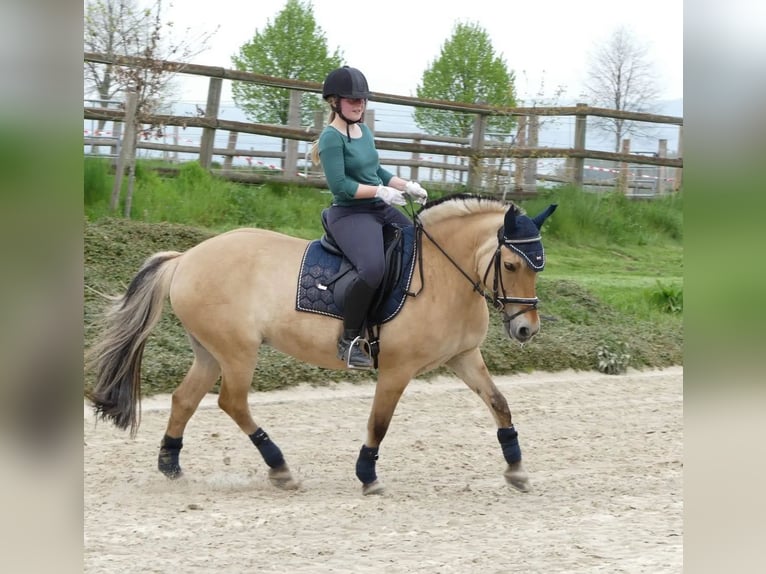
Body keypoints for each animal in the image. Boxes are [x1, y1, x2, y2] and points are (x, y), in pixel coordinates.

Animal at [87, 194, 560, 496]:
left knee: (185, 399)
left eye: (539, 266)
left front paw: (516, 469)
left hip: (210, 351)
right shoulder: (397, 369)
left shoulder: (464, 357)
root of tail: (186, 258)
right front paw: (368, 475)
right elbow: (379, 422)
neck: (446, 275)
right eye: (512, 264)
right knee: (232, 402)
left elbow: (499, 404)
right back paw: (280, 469)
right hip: (238, 351)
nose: (526, 330)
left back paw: (171, 466)